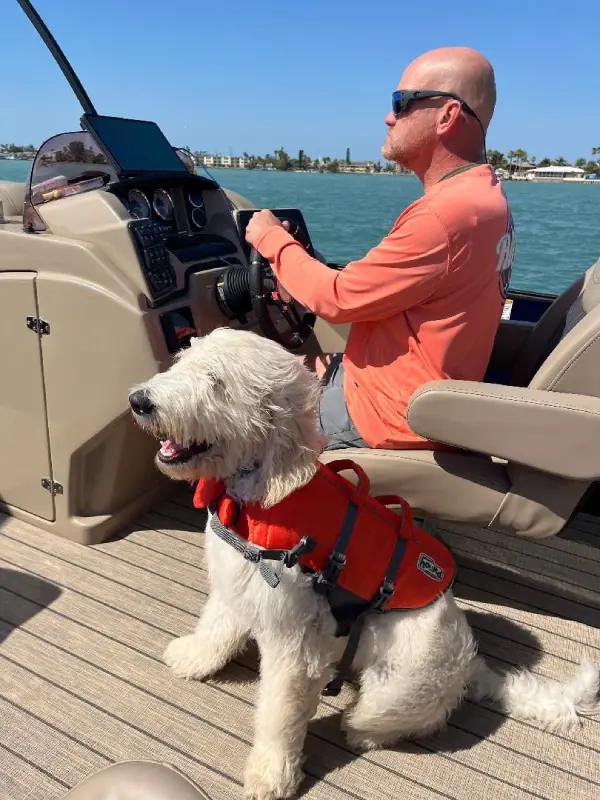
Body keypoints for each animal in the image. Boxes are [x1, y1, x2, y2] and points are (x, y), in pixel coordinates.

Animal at [130, 326, 600, 800]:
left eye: (217, 382)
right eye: (184, 360)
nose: (139, 400)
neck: (257, 496)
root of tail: (471, 666)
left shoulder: (294, 644)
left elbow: (280, 712)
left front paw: (273, 773)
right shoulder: (236, 583)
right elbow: (216, 627)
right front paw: (193, 658)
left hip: (398, 690)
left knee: (401, 718)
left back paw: (363, 732)